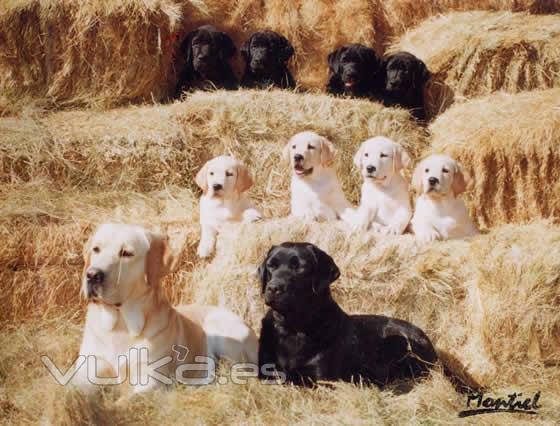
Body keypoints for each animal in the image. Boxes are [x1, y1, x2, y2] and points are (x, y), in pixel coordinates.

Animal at [75, 225, 258, 394]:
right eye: (96, 249)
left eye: (126, 253)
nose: (92, 275)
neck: (121, 325)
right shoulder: (85, 372)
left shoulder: (150, 380)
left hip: (222, 333)